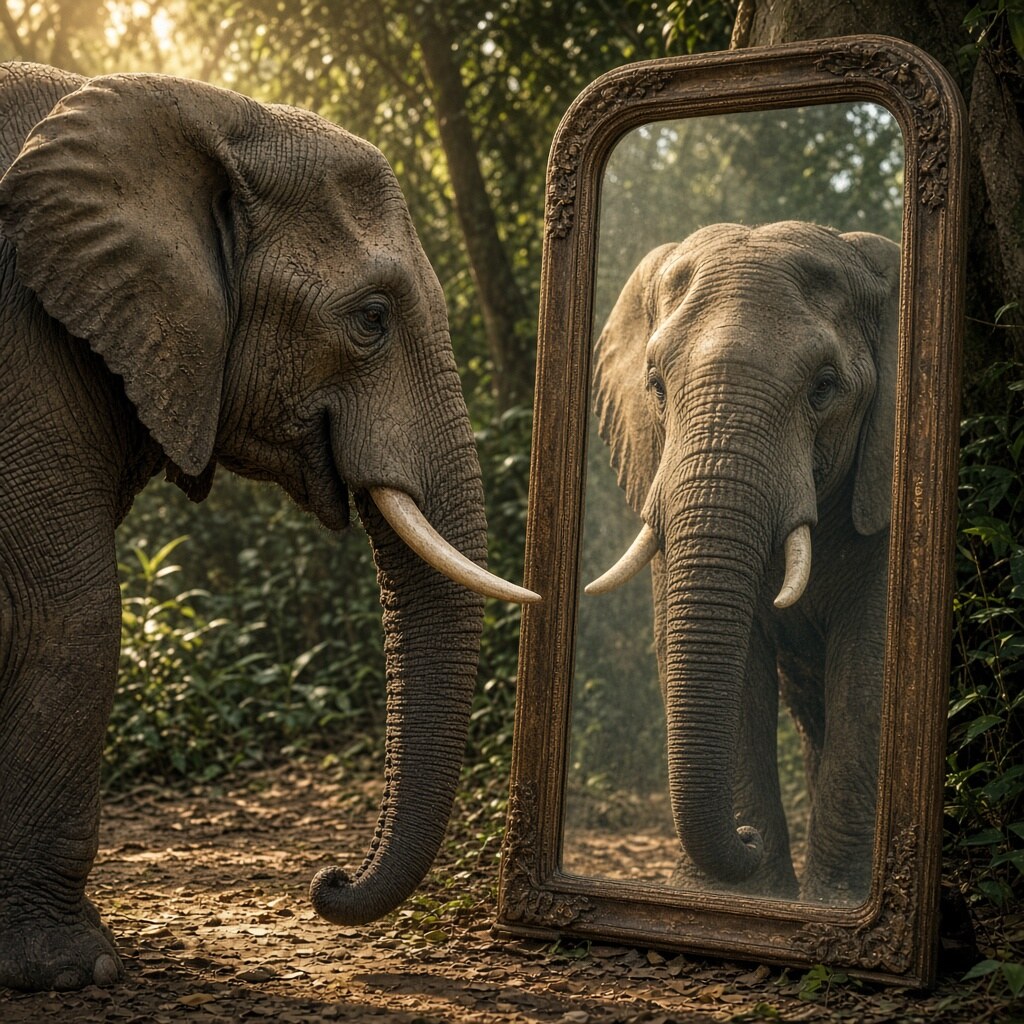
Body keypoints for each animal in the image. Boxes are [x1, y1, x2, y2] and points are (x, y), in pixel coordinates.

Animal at [0, 62, 537, 992]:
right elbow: (68, 615)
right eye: (371, 318)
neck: (201, 109)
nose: (326, 880)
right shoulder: (24, 347)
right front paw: (71, 971)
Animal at [586, 221, 899, 905]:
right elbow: (721, 654)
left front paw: (835, 904)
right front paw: (744, 898)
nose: (745, 837)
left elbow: (871, 660)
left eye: (824, 388)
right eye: (655, 385)